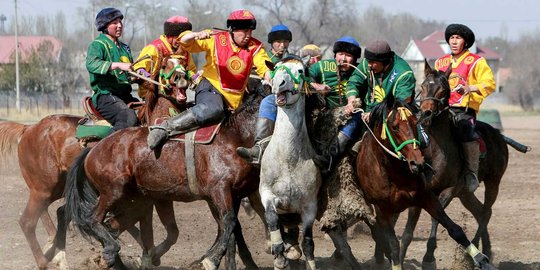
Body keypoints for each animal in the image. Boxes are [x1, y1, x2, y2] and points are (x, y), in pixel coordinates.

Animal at [62, 87, 264, 270]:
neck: (234, 138)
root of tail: (92, 151)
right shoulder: (219, 191)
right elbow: (229, 223)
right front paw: (209, 261)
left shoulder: (233, 195)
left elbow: (231, 229)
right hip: (113, 191)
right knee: (94, 220)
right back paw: (113, 252)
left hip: (134, 200)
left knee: (112, 226)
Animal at [258, 55, 320, 270]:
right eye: (276, 68)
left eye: (300, 70)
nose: (279, 83)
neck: (288, 159)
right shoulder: (267, 193)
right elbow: (272, 220)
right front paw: (278, 255)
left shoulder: (310, 206)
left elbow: (309, 244)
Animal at [354, 93, 498, 270]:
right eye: (394, 127)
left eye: (415, 123)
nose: (418, 163)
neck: (392, 172)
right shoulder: (382, 210)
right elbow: (394, 244)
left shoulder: (425, 197)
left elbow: (454, 229)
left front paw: (480, 259)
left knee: (483, 211)